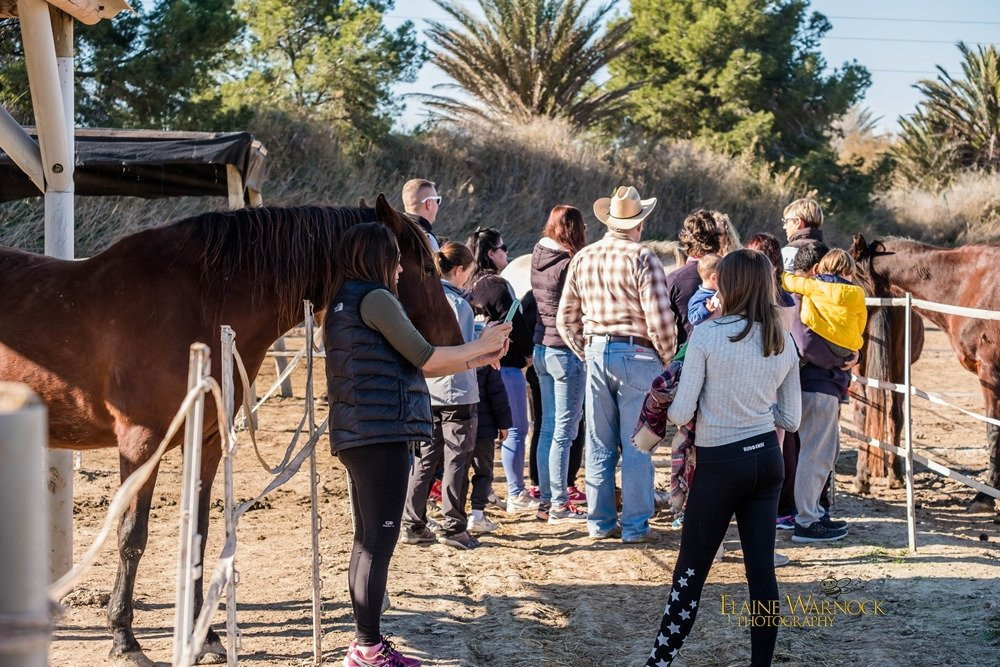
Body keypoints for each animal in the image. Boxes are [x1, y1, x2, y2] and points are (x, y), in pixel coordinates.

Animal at [0, 193, 460, 664]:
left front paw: (204, 637)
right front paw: (124, 638)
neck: (196, 302)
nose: (453, 339)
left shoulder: (206, 439)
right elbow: (132, 536)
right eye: (425, 268)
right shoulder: (140, 443)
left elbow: (199, 534)